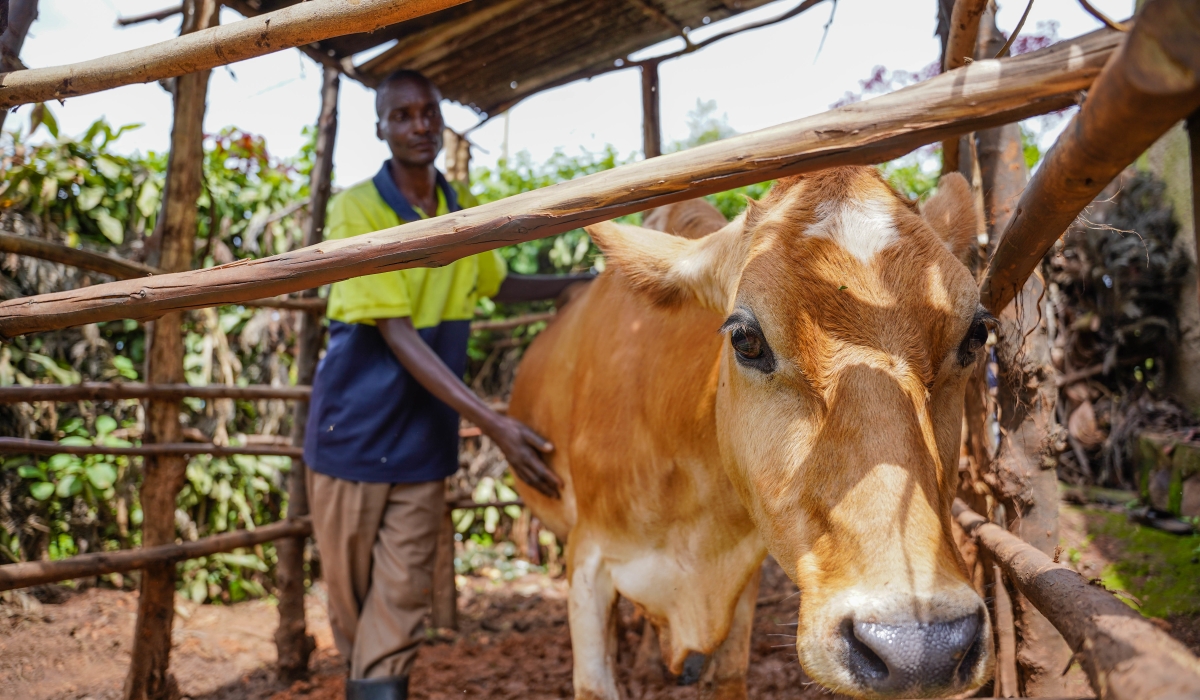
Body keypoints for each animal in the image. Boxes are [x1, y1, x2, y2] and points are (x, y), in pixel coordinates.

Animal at [509, 166, 994, 699]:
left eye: (976, 334)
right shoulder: (588, 557)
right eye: (745, 339)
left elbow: (729, 673)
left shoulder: (743, 568)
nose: (918, 646)